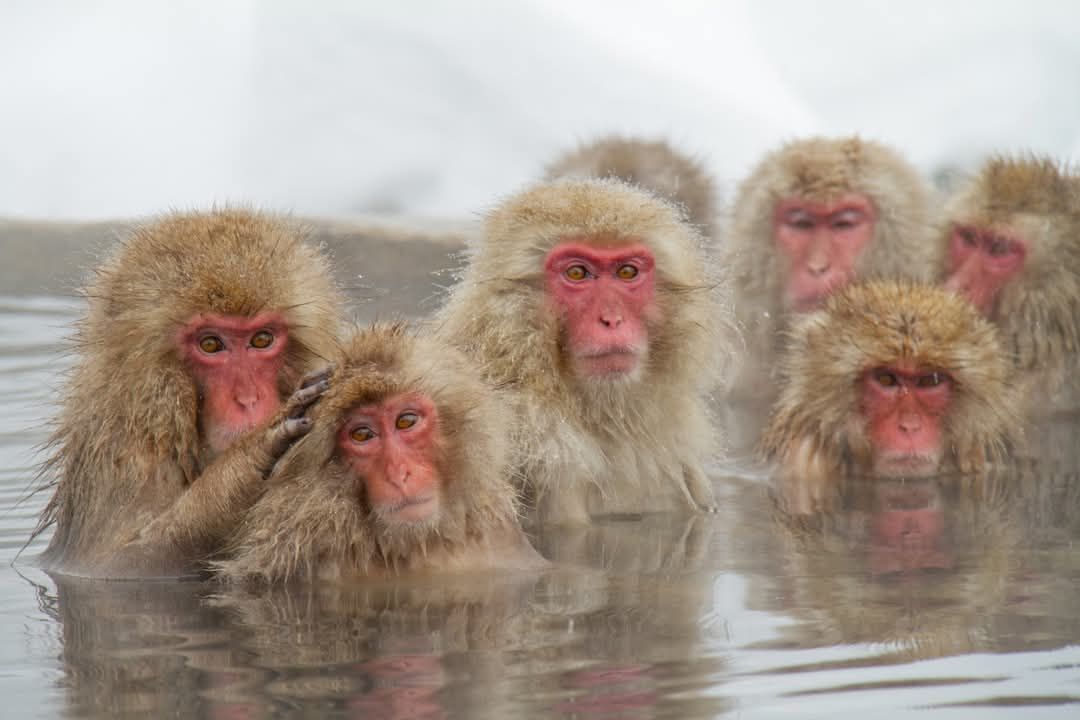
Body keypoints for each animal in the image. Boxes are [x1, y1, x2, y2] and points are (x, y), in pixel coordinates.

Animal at [33, 208, 343, 577]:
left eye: (262, 339)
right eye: (210, 344)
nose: (248, 400)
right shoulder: (123, 454)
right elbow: (119, 564)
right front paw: (258, 449)